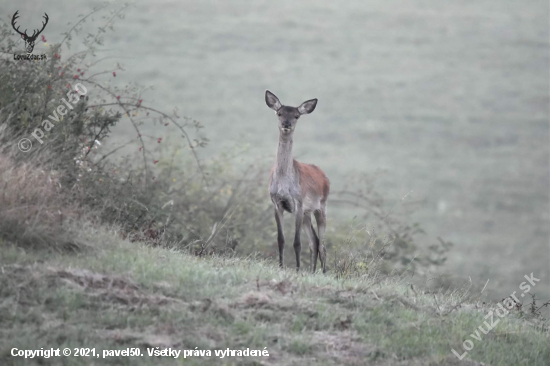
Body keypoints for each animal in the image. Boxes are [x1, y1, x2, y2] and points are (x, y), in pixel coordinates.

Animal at [268, 90, 332, 274]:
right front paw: (281, 267)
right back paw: (312, 271)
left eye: (296, 115)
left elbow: (297, 242)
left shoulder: (298, 202)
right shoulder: (277, 203)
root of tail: (324, 176)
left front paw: (296, 269)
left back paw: (323, 272)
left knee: (322, 244)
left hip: (321, 207)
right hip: (307, 214)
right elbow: (281, 239)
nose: (286, 124)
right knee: (314, 242)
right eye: (279, 113)